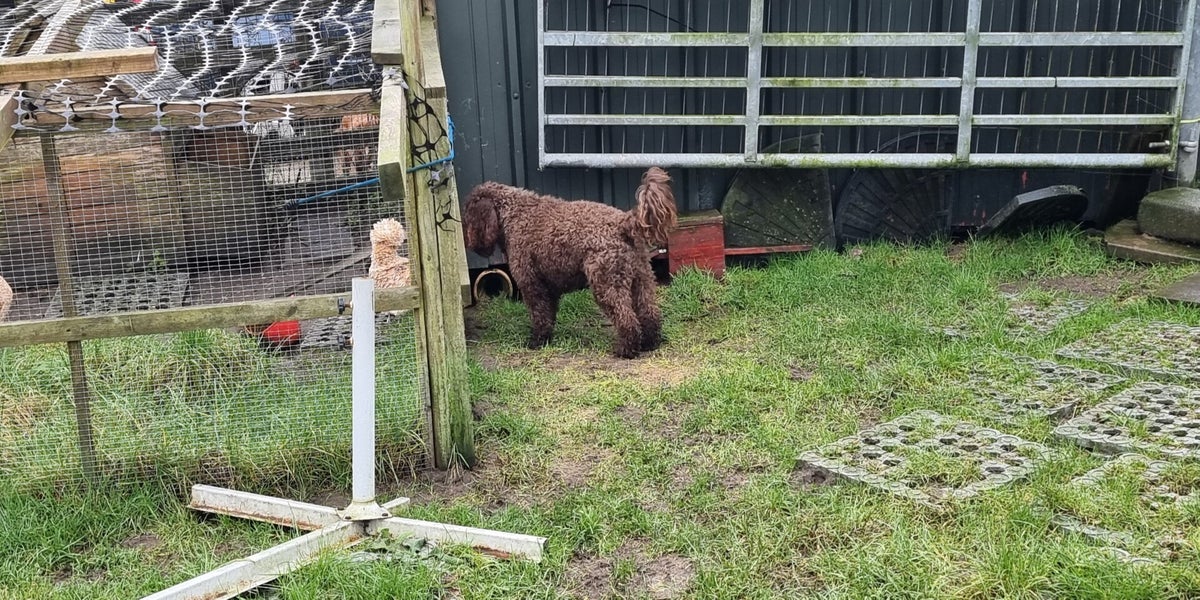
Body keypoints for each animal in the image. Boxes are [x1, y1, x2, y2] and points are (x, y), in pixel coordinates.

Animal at [463, 168, 677, 358]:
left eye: (468, 214)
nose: (467, 241)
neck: (515, 214)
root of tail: (624, 222)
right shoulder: (549, 289)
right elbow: (548, 315)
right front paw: (547, 339)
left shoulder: (532, 285)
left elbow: (540, 316)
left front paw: (537, 342)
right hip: (641, 279)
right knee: (649, 313)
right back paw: (650, 343)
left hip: (607, 283)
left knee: (626, 318)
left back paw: (626, 350)